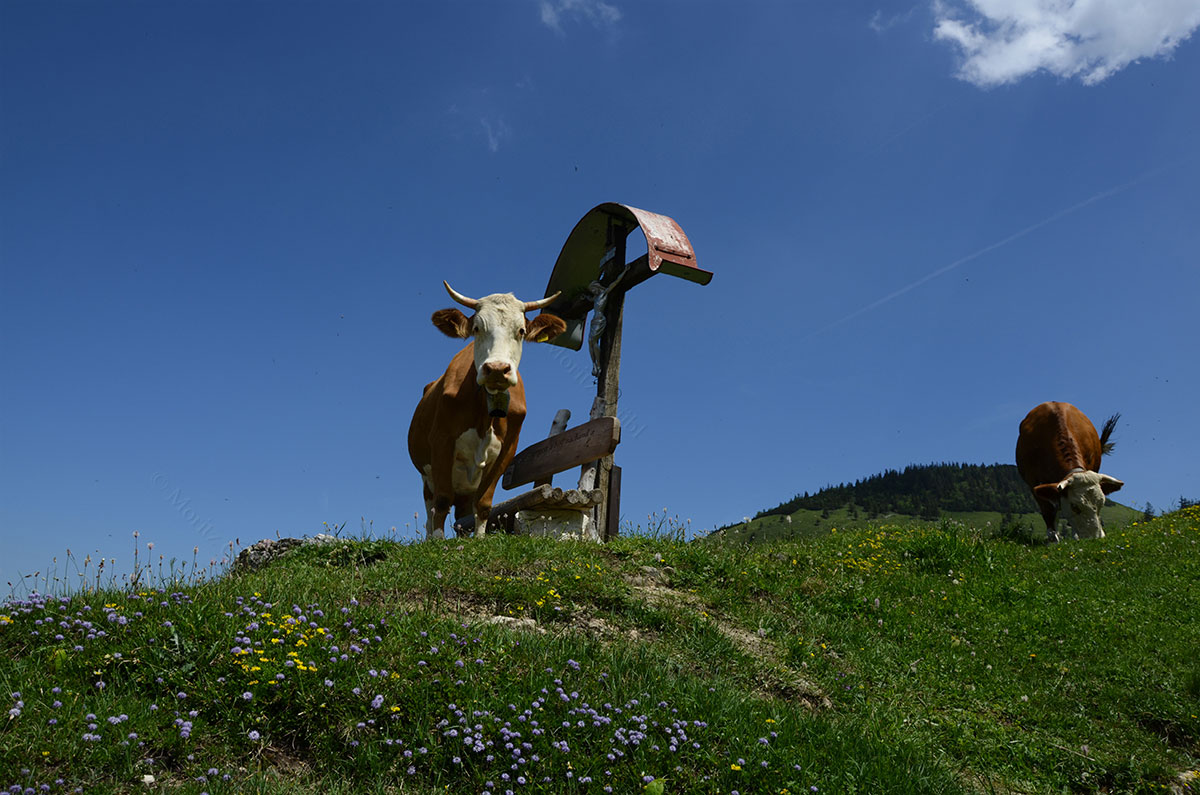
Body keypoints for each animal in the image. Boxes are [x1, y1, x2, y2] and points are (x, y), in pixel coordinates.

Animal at [408, 281, 566, 540]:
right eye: (476, 328)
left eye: (521, 330)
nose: (497, 368)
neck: (485, 413)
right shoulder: (441, 442)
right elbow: (441, 501)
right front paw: (438, 543)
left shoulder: (506, 451)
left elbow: (483, 505)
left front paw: (479, 541)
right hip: (427, 475)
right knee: (431, 509)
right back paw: (432, 538)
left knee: (462, 515)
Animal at [1015, 401, 1123, 542]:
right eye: (1074, 506)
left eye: (1101, 503)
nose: (1094, 538)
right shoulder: (1033, 482)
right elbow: (1047, 511)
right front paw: (1053, 539)